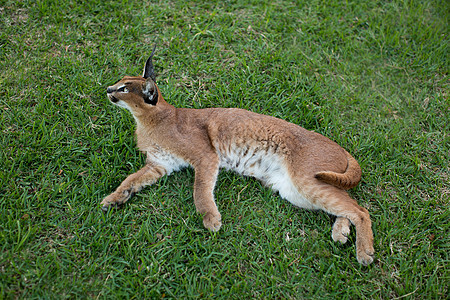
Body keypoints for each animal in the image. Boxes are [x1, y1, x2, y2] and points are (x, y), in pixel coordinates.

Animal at [100, 47, 374, 264]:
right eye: (119, 81)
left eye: (124, 88)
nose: (108, 89)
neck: (150, 120)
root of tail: (340, 147)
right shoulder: (159, 165)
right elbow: (130, 180)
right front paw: (114, 198)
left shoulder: (206, 156)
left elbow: (200, 190)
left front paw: (211, 219)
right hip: (294, 190)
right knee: (347, 203)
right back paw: (341, 232)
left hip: (305, 181)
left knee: (361, 209)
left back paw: (364, 252)